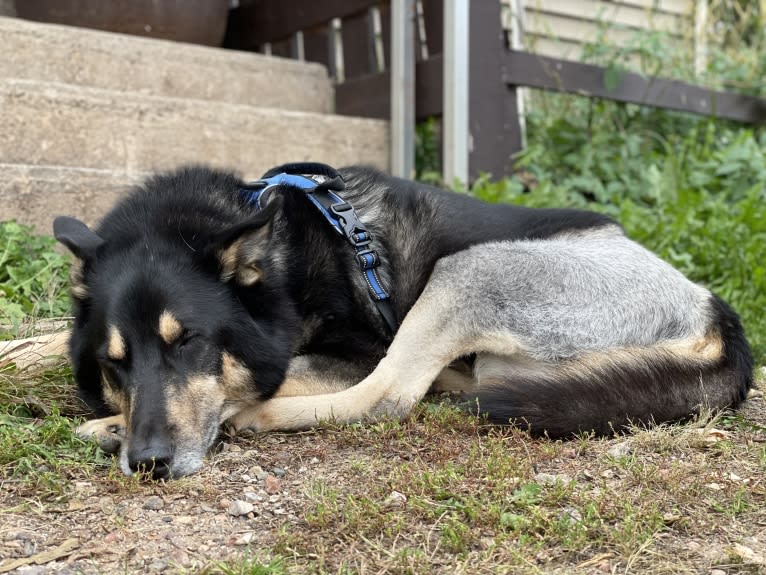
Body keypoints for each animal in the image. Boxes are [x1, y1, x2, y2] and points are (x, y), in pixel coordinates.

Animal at [55, 163, 756, 482]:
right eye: (116, 361)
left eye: (191, 342)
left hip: (470, 271)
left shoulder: (354, 351)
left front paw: (119, 423)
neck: (279, 256)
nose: (148, 461)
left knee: (388, 396)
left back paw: (254, 418)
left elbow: (274, 377)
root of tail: (710, 307)